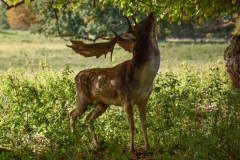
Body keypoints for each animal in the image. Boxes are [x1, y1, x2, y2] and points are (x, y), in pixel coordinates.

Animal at [66, 11, 160, 151]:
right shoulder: (126, 98)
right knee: (72, 114)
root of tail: (76, 76)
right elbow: (131, 125)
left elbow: (144, 124)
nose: (152, 13)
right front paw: (132, 149)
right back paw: (74, 139)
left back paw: (96, 143)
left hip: (102, 103)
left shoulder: (144, 99)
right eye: (139, 25)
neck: (143, 80)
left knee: (89, 118)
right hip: (84, 98)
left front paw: (148, 148)